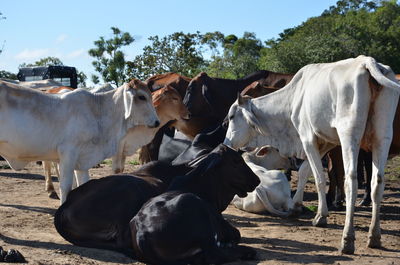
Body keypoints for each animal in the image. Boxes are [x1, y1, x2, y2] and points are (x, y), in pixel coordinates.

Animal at [0, 78, 159, 202]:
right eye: (142, 97)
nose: (157, 122)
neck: (99, 111)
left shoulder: (83, 160)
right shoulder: (68, 153)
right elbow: (65, 187)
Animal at [130, 144, 260, 264]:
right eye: (236, 161)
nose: (257, 180)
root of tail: (142, 233)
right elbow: (237, 233)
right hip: (197, 213)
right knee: (215, 254)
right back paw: (246, 251)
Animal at [223, 56, 400, 254]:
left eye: (232, 116)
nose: (227, 143)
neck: (293, 98)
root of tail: (367, 63)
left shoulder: (307, 138)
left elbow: (318, 177)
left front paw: (320, 216)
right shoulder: (326, 142)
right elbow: (304, 171)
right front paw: (296, 205)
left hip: (350, 134)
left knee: (351, 181)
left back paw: (347, 239)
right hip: (382, 136)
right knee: (378, 181)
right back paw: (374, 236)